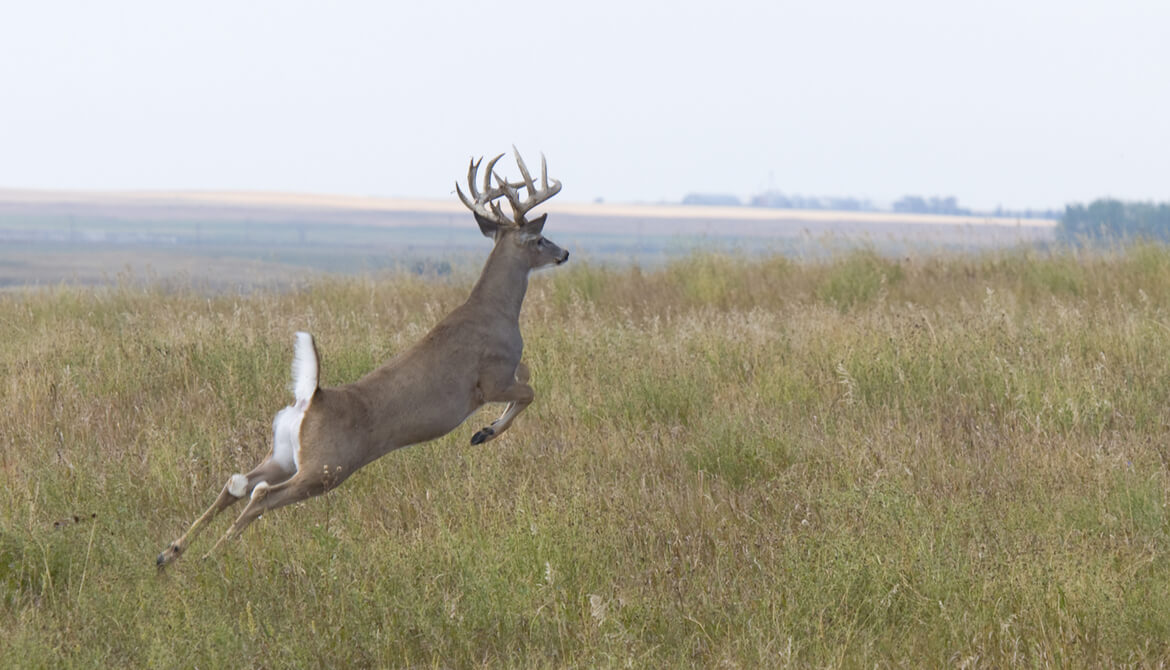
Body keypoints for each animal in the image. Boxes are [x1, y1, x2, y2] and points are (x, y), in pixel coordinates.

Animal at [156, 149, 570, 565]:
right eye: (539, 238)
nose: (564, 253)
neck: (495, 312)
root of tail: (311, 398)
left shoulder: (504, 374)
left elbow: (528, 376)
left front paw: (483, 431)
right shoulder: (491, 379)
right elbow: (530, 389)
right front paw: (484, 432)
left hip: (285, 456)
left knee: (235, 483)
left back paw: (169, 553)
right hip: (327, 467)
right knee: (259, 496)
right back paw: (209, 558)